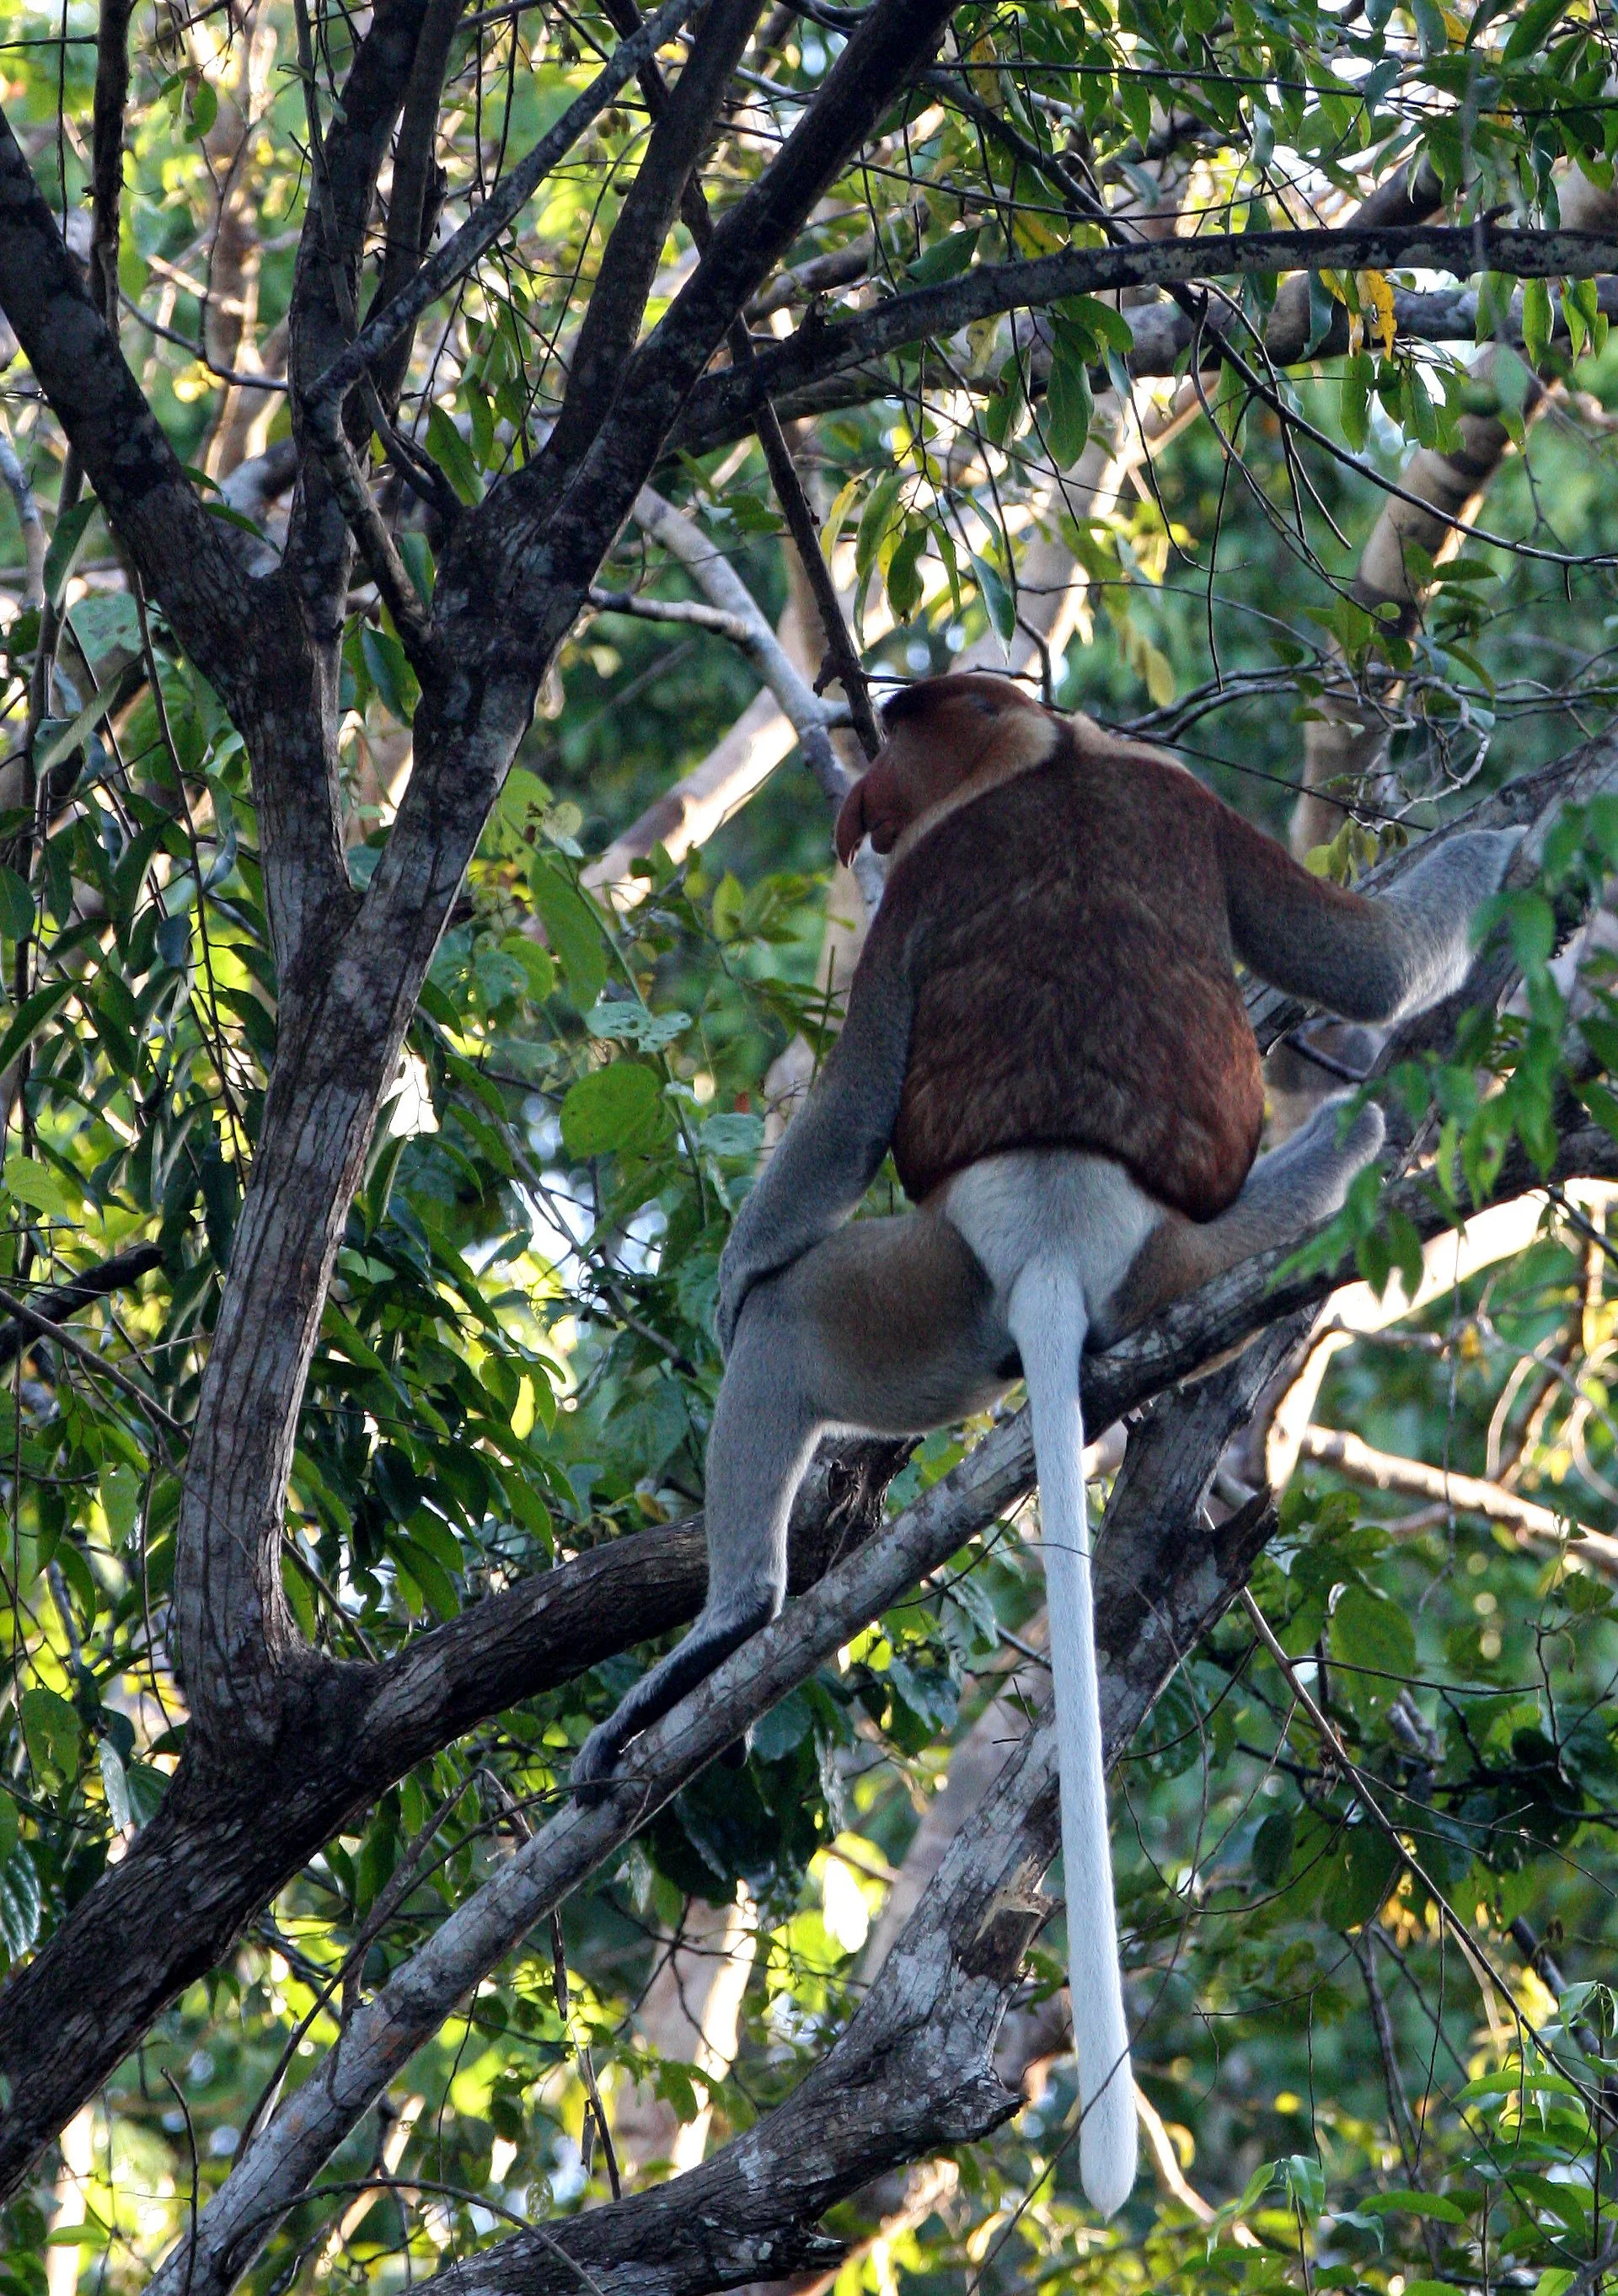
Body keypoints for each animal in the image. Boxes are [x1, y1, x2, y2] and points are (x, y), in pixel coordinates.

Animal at [574, 672, 1520, 2218]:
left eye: (903, 738)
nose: (864, 799)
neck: (1055, 754)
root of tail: (1065, 1246)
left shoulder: (925, 892)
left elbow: (849, 1108)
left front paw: (732, 1275)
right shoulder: (1184, 797)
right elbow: (1366, 966)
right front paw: (1506, 855)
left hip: (923, 1291)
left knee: (790, 1329)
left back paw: (731, 1619)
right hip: (1135, 1267)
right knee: (1310, 1150)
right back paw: (1340, 1153)